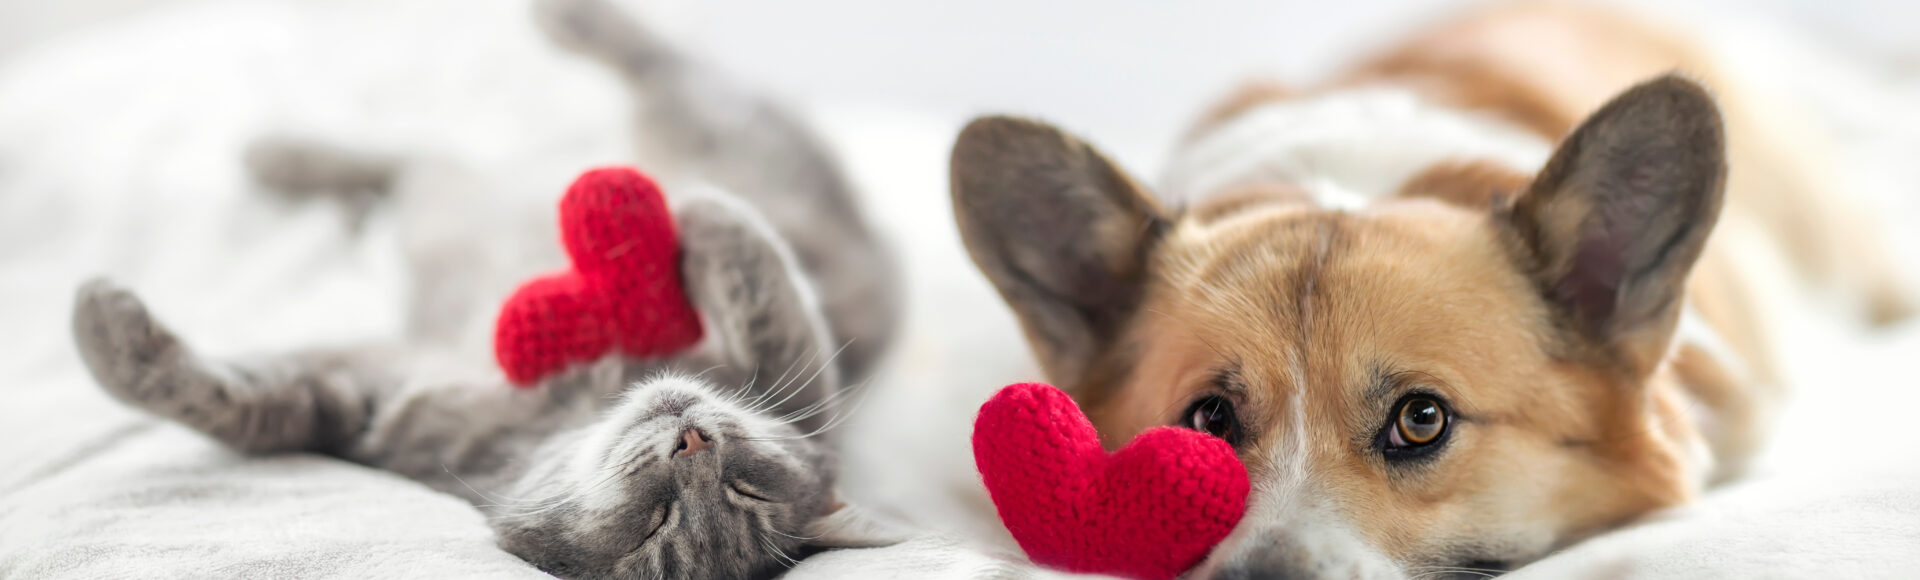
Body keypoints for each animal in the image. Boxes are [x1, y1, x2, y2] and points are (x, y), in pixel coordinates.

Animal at [71, 0, 902, 576]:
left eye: (674, 517)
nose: (694, 439)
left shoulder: (362, 401)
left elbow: (236, 402)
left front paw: (101, 327)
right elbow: (233, 398)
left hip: (711, 136)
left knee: (652, 78)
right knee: (417, 154)